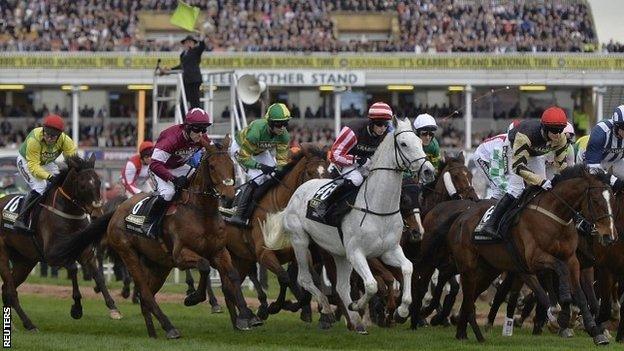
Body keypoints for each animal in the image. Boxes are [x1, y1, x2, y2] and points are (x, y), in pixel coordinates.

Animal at [0, 155, 120, 332]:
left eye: (99, 181)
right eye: (82, 185)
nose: (98, 214)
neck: (68, 214)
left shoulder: (85, 253)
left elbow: (98, 275)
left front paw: (113, 308)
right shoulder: (52, 255)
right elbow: (73, 268)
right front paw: (77, 308)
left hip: (25, 261)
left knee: (8, 289)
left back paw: (13, 325)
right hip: (3, 256)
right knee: (10, 291)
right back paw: (29, 324)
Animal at [48, 137, 258, 338]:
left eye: (231, 164)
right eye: (212, 166)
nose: (228, 195)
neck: (200, 212)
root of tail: (117, 210)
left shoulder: (219, 252)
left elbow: (232, 276)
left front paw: (246, 315)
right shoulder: (181, 255)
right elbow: (205, 267)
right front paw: (193, 298)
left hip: (159, 265)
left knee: (147, 295)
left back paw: (153, 332)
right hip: (129, 254)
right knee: (145, 292)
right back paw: (169, 327)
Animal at [262, 117, 434, 334]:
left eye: (420, 142)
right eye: (403, 144)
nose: (428, 170)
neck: (378, 208)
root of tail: (296, 193)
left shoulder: (389, 251)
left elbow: (408, 269)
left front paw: (401, 312)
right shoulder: (357, 252)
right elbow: (371, 285)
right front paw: (359, 305)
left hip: (338, 253)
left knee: (341, 287)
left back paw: (356, 321)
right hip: (301, 241)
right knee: (305, 278)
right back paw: (327, 310)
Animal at [448, 166, 616, 346]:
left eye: (612, 200)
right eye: (596, 201)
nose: (609, 236)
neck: (556, 216)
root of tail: (461, 217)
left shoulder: (572, 260)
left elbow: (581, 294)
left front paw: (596, 332)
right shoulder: (534, 259)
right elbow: (560, 270)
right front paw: (564, 309)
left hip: (488, 270)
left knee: (469, 300)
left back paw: (465, 334)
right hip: (468, 269)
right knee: (468, 299)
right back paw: (471, 333)